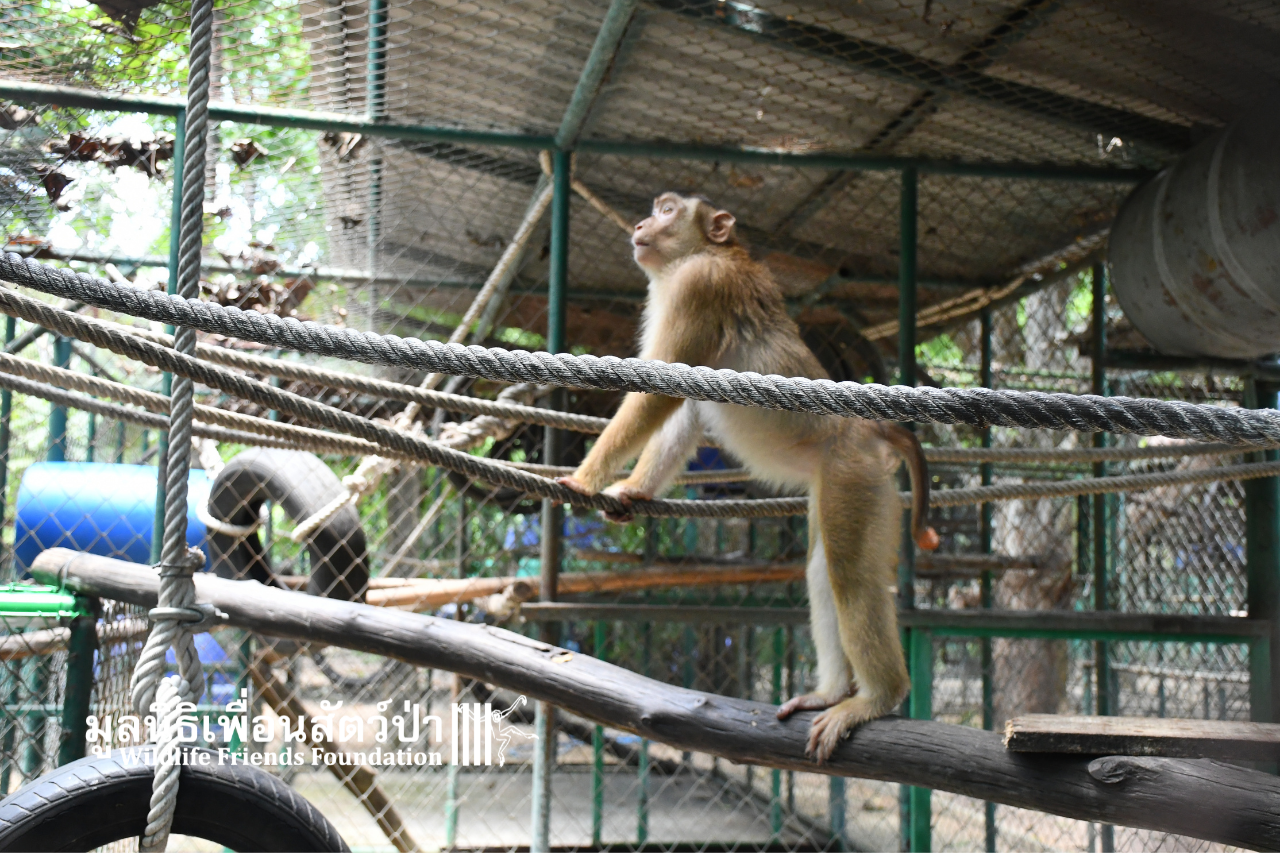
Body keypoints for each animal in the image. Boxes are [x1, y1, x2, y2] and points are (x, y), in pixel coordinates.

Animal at [557, 191, 939, 762]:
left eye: (668, 209)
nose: (642, 224)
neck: (703, 255)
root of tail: (866, 427)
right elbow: (685, 408)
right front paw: (632, 489)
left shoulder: (700, 285)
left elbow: (658, 393)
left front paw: (584, 480)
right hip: (853, 484)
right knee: (823, 570)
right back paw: (830, 692)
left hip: (851, 472)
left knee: (850, 577)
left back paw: (875, 698)